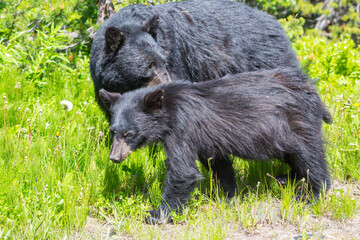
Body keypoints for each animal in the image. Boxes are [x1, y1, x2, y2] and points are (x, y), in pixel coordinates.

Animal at [98, 68, 332, 225]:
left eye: (129, 134)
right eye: (113, 132)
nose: (114, 158)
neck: (168, 110)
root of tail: (311, 89)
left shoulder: (183, 126)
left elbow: (183, 170)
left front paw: (157, 214)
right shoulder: (207, 139)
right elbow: (219, 164)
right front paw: (231, 195)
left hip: (295, 123)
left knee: (309, 155)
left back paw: (312, 194)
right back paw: (286, 178)